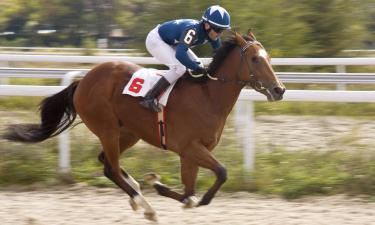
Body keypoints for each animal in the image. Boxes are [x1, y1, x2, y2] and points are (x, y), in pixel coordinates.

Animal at [2, 30, 286, 221]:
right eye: (255, 59)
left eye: (269, 57)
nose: (279, 90)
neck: (207, 96)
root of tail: (82, 81)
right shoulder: (189, 147)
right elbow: (219, 174)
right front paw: (162, 187)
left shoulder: (191, 153)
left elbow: (190, 191)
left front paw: (159, 184)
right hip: (107, 128)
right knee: (112, 169)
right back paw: (146, 205)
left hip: (129, 132)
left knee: (107, 162)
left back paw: (139, 194)